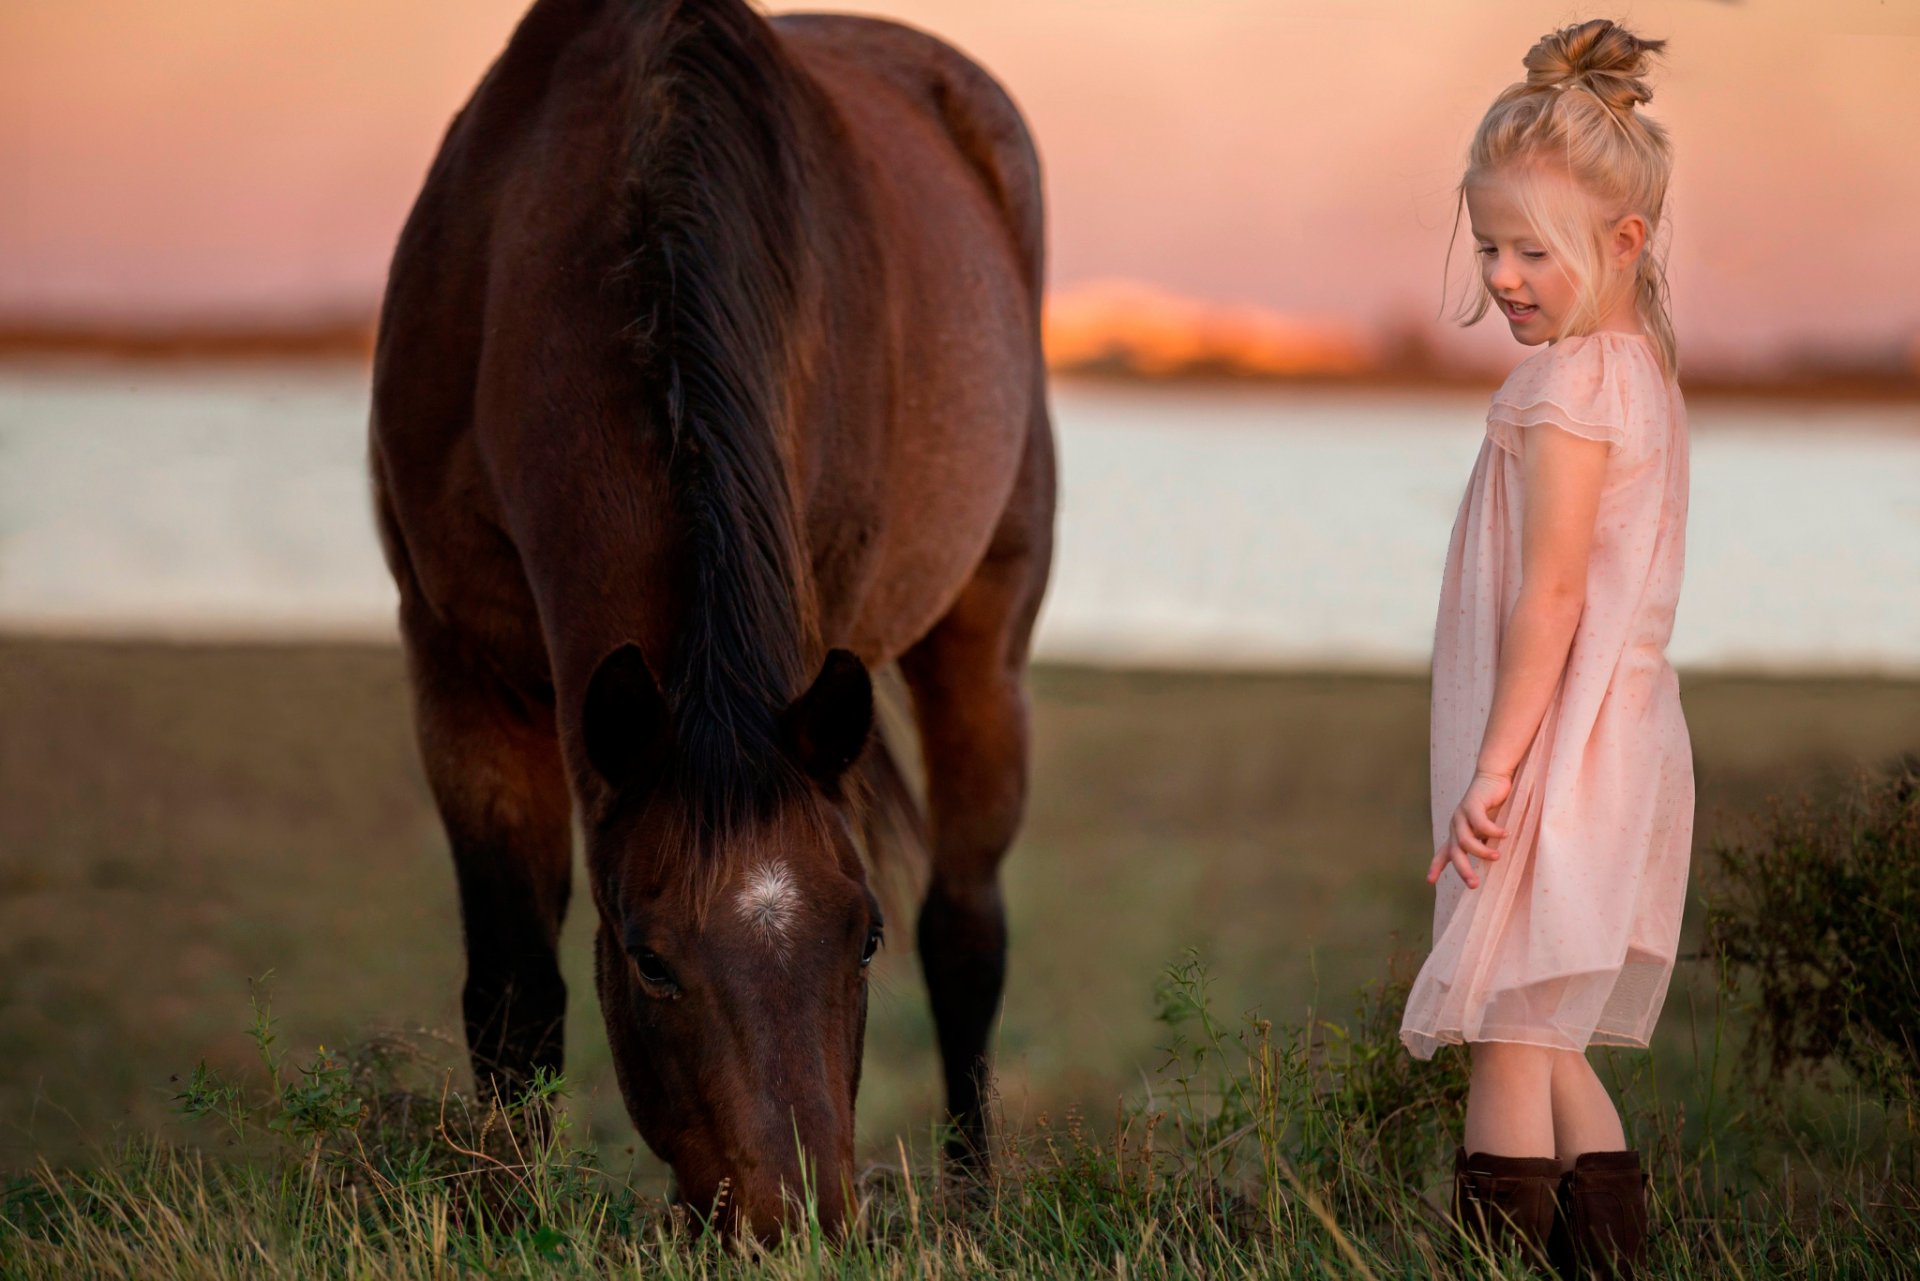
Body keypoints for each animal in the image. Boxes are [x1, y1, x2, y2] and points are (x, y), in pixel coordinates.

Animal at [366, 0, 1059, 1244]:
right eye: (651, 962)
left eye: (860, 935)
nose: (798, 1224)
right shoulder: (460, 666)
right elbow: (512, 982)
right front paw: (501, 1217)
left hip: (984, 644)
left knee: (967, 933)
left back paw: (975, 1205)